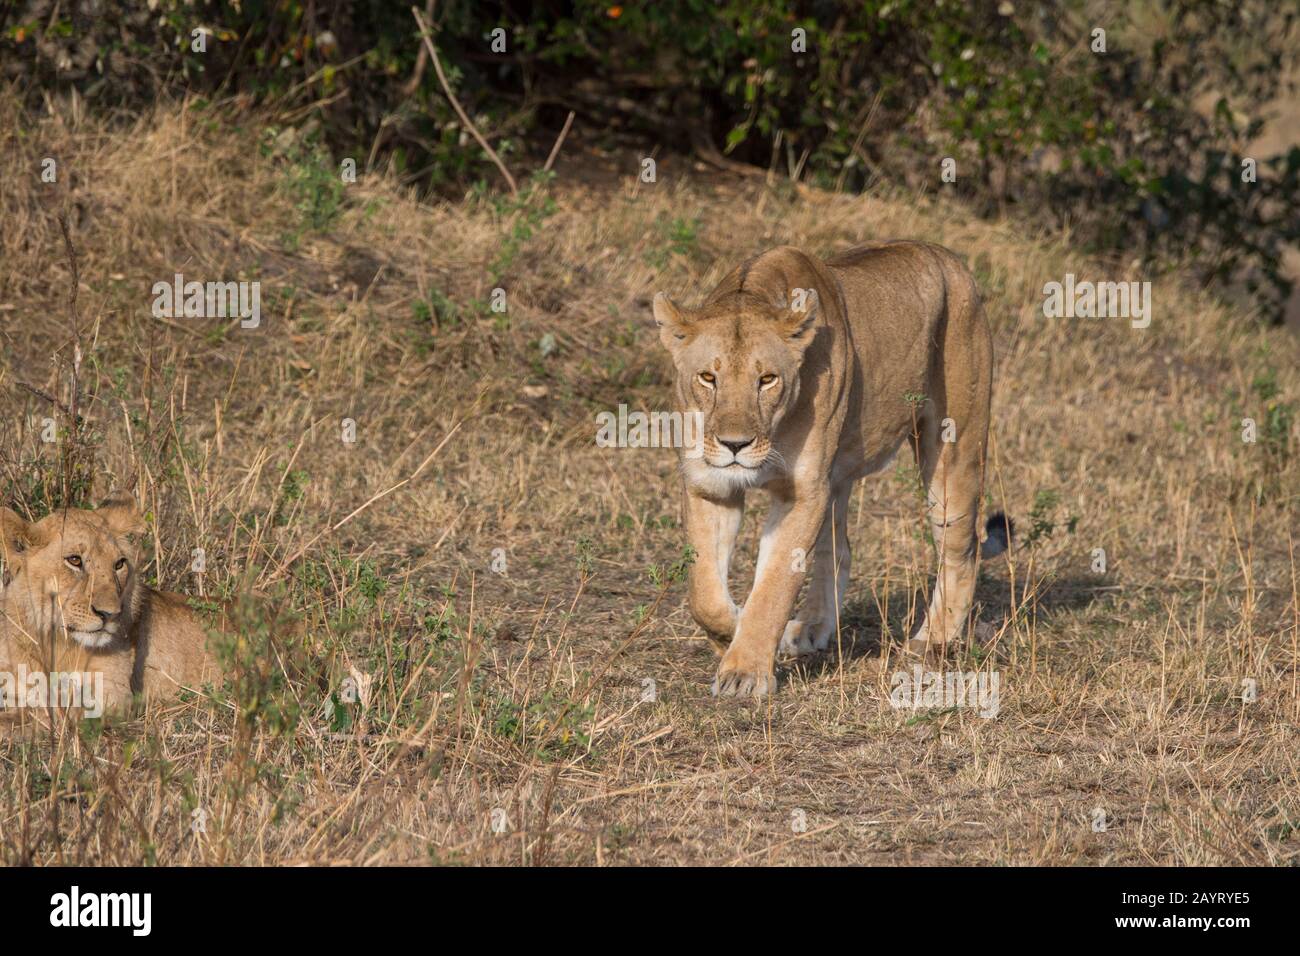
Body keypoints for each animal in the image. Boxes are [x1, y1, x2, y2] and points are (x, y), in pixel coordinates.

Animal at [0, 493, 220, 728]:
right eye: (74, 560)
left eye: (119, 564)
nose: (110, 614)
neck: (56, 642)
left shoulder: (113, 695)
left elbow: (50, 713)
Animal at [654, 241, 1009, 698]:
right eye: (707, 378)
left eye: (767, 379)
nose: (735, 445)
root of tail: (949, 257)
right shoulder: (709, 485)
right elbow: (705, 594)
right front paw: (734, 629)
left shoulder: (803, 492)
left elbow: (773, 586)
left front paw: (745, 672)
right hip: (837, 476)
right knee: (838, 550)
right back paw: (810, 628)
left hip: (955, 445)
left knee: (962, 549)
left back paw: (930, 643)